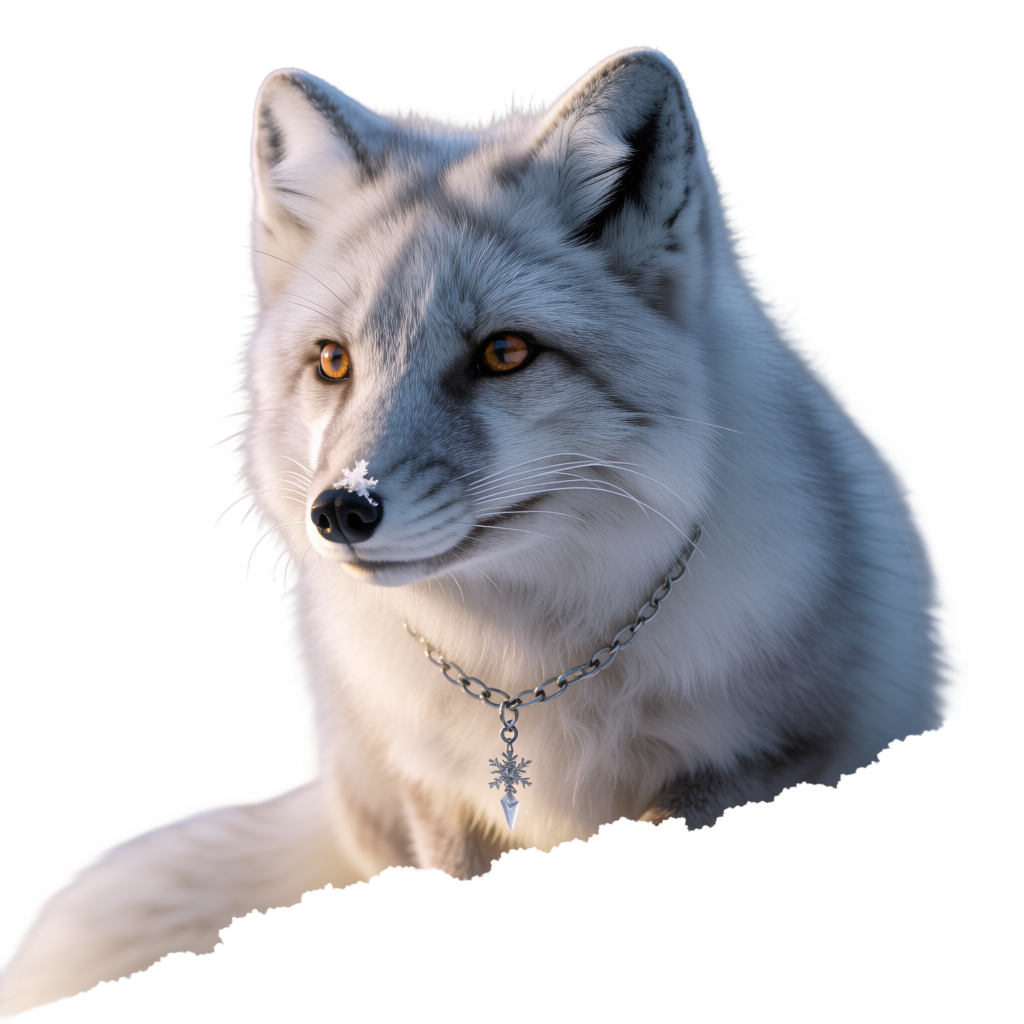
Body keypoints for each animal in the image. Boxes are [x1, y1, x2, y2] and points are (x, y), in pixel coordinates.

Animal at [0, 46, 966, 1020]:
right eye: (333, 362)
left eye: (505, 354)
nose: (342, 510)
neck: (527, 669)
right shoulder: (438, 801)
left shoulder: (750, 770)